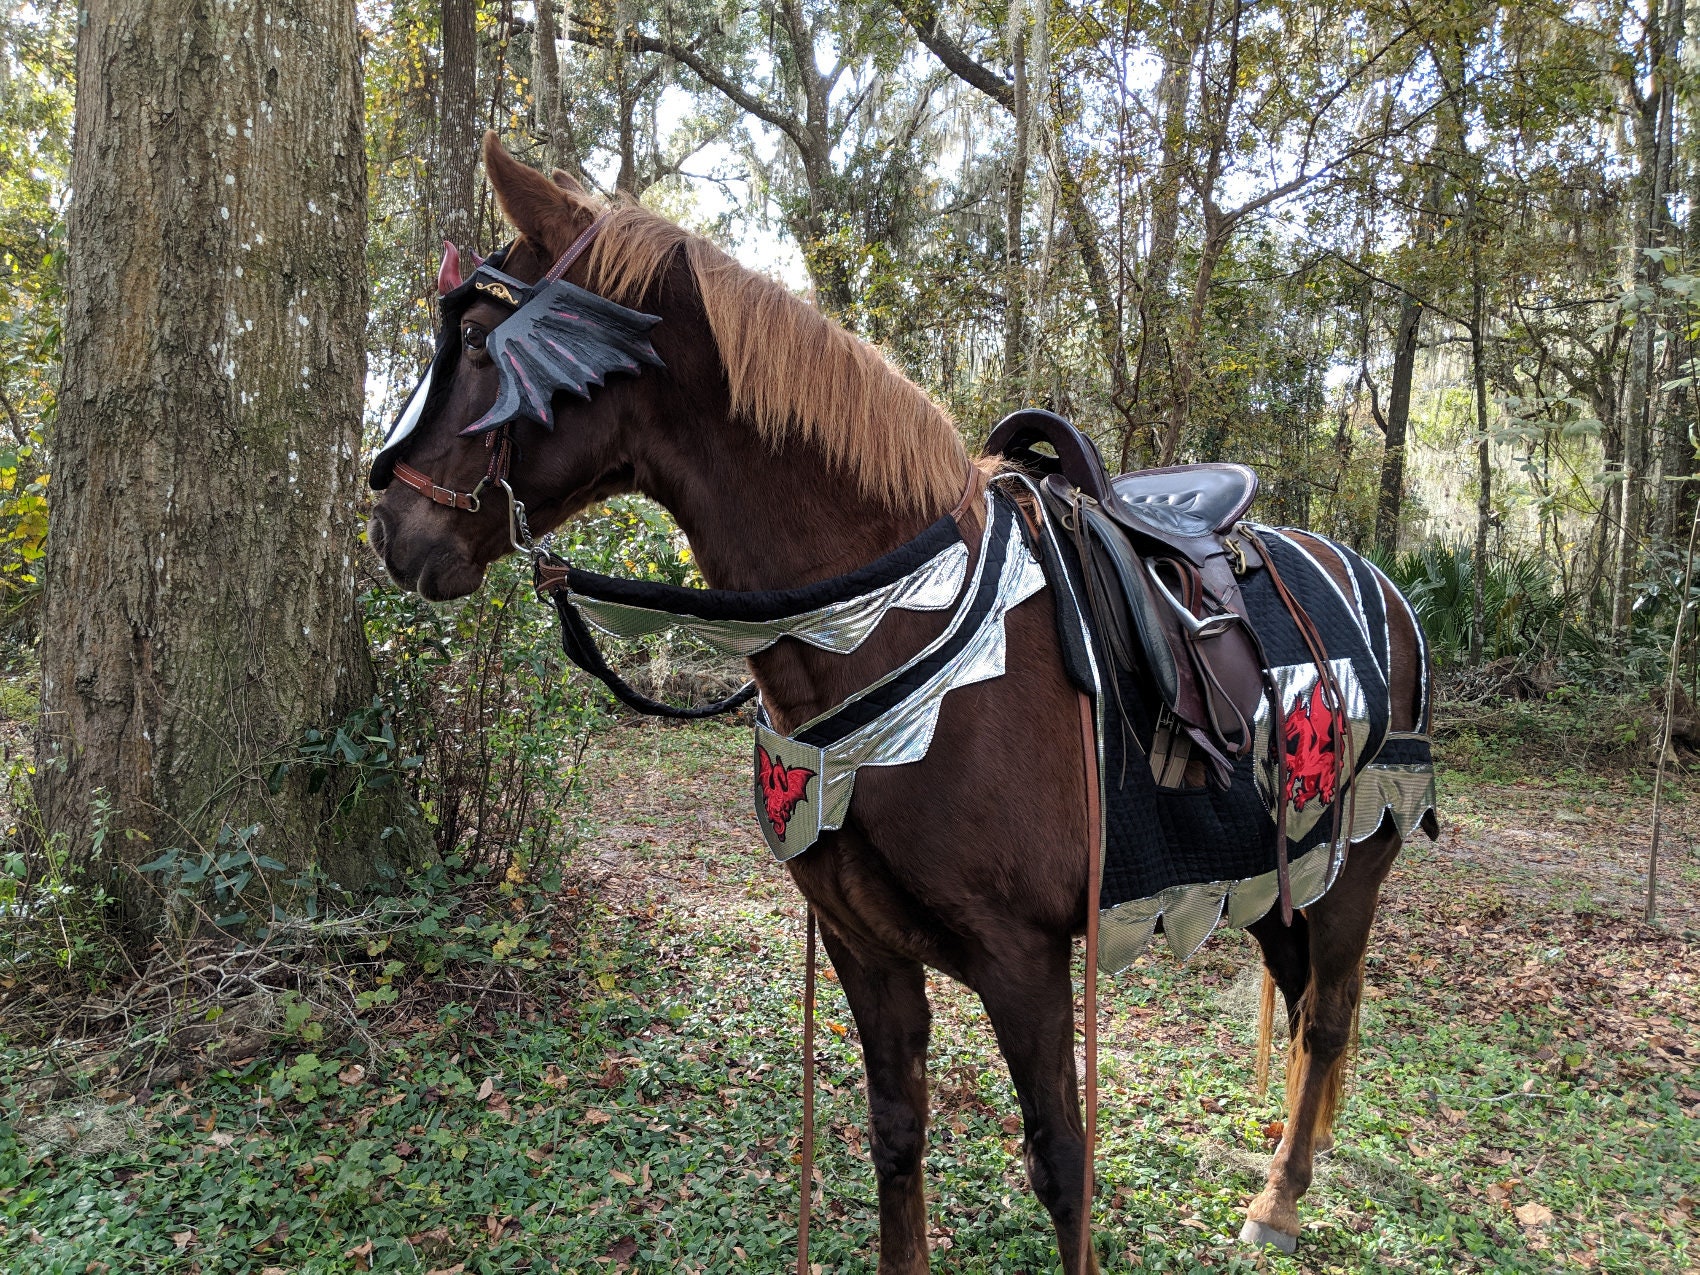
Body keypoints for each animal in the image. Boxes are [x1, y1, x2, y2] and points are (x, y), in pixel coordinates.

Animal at [367, 132, 1430, 1273]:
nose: (390, 526)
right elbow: (894, 1131)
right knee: (1310, 1001)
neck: (887, 620)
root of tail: (1383, 586)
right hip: (1287, 875)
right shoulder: (861, 943)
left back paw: (1279, 1196)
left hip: (1353, 869)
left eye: (483, 341)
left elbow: (1062, 1163)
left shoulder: (1023, 959)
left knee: (1327, 1016)